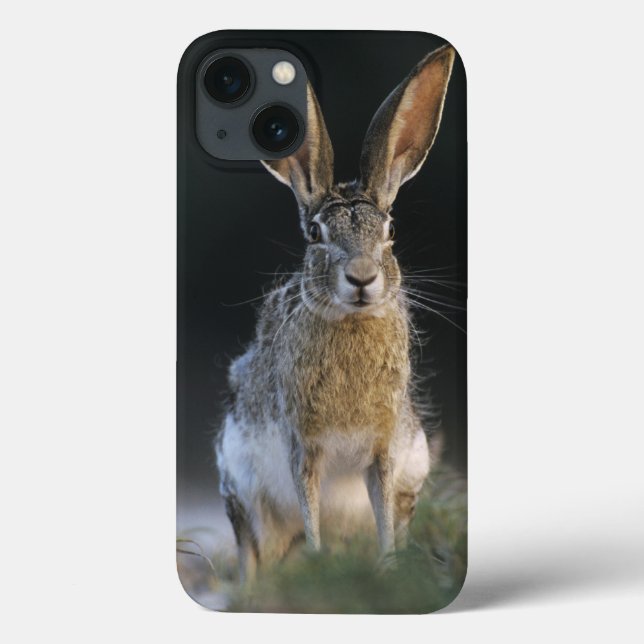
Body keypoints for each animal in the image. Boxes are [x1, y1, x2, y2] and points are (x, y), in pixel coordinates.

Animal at [215, 44, 455, 582]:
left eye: (390, 230)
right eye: (314, 235)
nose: (362, 277)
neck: (351, 322)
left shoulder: (386, 451)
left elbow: (382, 513)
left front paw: (387, 571)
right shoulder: (303, 446)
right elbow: (310, 513)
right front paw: (321, 562)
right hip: (241, 488)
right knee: (253, 550)